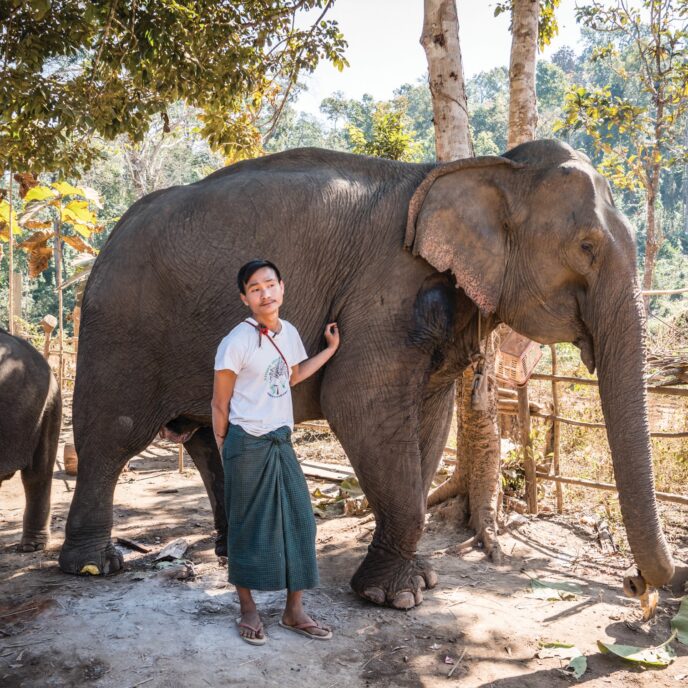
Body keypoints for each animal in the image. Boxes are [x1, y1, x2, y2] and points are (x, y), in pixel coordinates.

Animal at [59, 138, 672, 608]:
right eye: (587, 247)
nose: (636, 585)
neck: (487, 166)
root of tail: (108, 239)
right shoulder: (385, 288)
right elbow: (358, 401)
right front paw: (395, 598)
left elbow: (431, 417)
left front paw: (417, 582)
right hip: (118, 330)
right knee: (111, 436)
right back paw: (94, 566)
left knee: (210, 439)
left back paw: (231, 554)